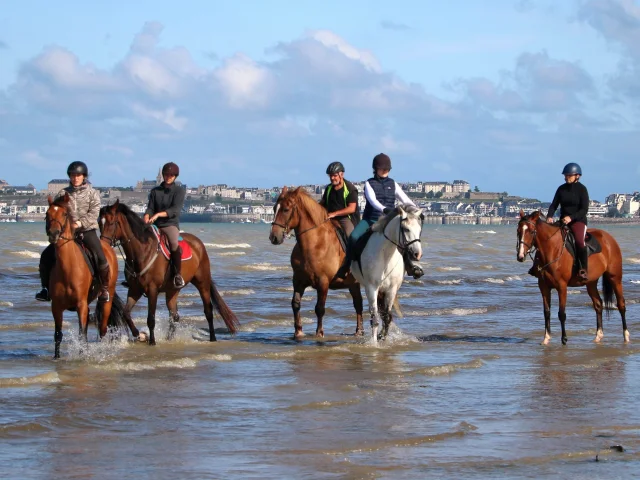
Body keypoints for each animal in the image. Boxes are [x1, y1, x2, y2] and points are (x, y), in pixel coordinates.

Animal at [46, 193, 136, 358]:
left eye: (64, 214)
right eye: (47, 214)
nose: (53, 234)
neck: (67, 268)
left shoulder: (81, 304)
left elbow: (82, 333)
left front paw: (83, 355)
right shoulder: (56, 306)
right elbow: (58, 335)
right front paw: (57, 357)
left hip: (106, 299)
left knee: (103, 328)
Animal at [99, 199, 239, 344]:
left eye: (111, 222)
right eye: (99, 223)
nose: (103, 245)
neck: (142, 252)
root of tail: (198, 243)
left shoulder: (152, 289)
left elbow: (151, 318)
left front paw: (152, 342)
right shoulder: (134, 289)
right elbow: (126, 313)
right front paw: (138, 334)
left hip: (202, 283)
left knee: (208, 311)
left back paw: (212, 338)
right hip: (172, 290)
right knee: (174, 315)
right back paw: (169, 339)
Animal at [268, 186, 362, 340]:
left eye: (286, 210)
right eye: (275, 208)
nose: (274, 237)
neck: (314, 243)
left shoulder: (323, 282)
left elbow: (320, 308)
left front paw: (319, 332)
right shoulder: (298, 280)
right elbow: (295, 304)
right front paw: (298, 331)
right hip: (353, 284)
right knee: (358, 303)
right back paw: (359, 331)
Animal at [350, 206, 424, 342]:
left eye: (419, 229)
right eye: (406, 229)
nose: (417, 254)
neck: (385, 255)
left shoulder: (391, 289)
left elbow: (387, 317)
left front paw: (382, 338)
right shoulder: (372, 288)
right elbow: (375, 318)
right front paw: (374, 342)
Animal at [516, 210, 628, 344]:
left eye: (532, 231)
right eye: (518, 231)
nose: (520, 256)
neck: (552, 249)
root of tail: (609, 238)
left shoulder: (562, 286)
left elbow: (561, 313)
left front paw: (564, 339)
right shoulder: (543, 287)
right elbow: (546, 312)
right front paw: (546, 338)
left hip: (615, 278)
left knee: (621, 304)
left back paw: (626, 336)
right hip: (591, 282)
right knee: (598, 304)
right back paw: (598, 336)